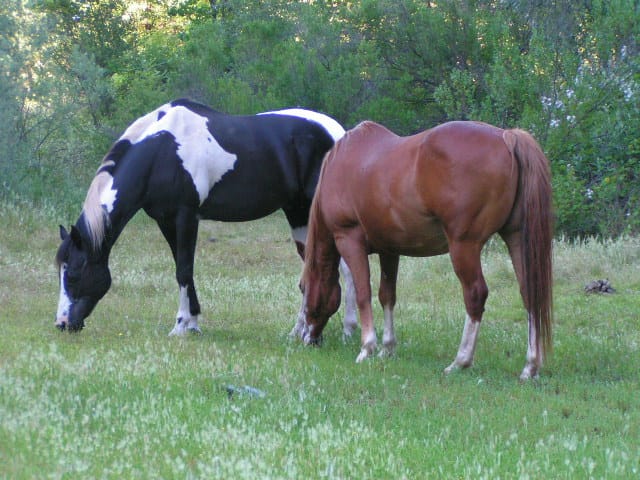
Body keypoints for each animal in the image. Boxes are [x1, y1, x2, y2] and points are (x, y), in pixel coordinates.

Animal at [55, 98, 357, 337]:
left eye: (73, 275)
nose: (62, 324)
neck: (160, 153)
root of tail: (340, 134)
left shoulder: (186, 216)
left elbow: (183, 270)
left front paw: (180, 326)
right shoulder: (166, 220)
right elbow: (182, 268)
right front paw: (193, 324)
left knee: (344, 265)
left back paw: (348, 330)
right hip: (298, 213)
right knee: (315, 265)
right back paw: (300, 330)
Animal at [301, 120, 553, 380]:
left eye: (303, 288)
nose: (308, 339)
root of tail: (507, 137)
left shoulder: (349, 239)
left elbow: (363, 294)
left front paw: (367, 348)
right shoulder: (389, 250)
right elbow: (386, 296)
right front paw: (387, 348)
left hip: (464, 246)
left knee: (475, 295)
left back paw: (460, 361)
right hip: (517, 239)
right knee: (529, 293)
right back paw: (530, 366)